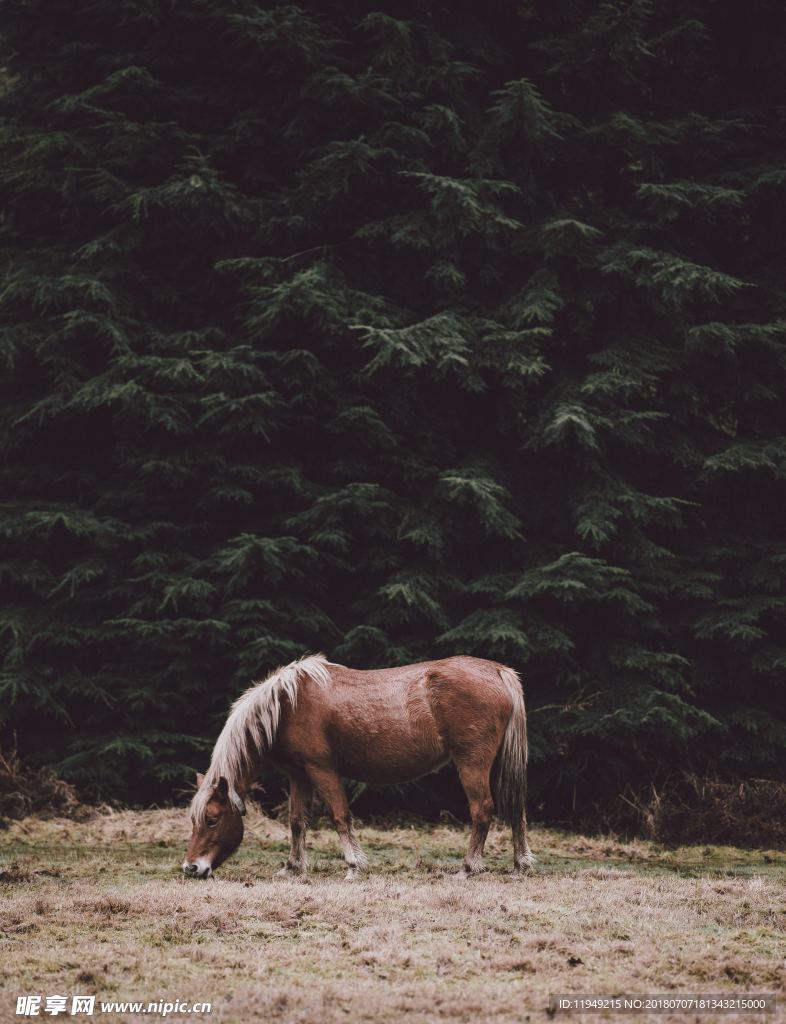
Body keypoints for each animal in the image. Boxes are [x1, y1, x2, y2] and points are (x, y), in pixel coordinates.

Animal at [184, 655, 532, 880]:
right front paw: (292, 867)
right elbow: (297, 822)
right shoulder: (299, 775)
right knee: (516, 810)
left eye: (212, 819)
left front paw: (353, 866)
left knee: (482, 811)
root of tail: (498, 671)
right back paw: (520, 865)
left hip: (471, 762)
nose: (191, 868)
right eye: (194, 820)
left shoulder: (322, 770)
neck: (286, 705)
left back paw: (467, 868)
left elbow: (340, 816)